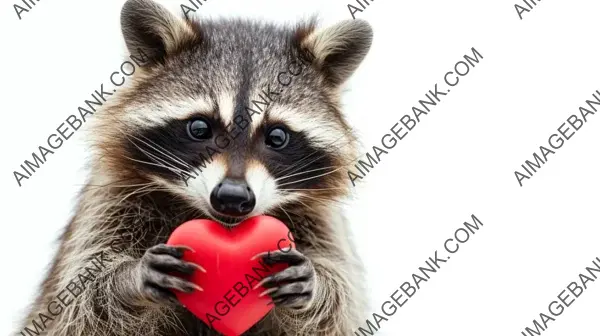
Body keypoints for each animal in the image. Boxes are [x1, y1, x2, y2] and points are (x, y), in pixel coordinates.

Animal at [17, 1, 370, 334]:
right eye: (200, 128)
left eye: (277, 136)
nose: (232, 197)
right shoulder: (109, 202)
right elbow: (78, 300)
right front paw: (127, 281)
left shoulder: (321, 221)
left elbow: (339, 303)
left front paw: (319, 286)